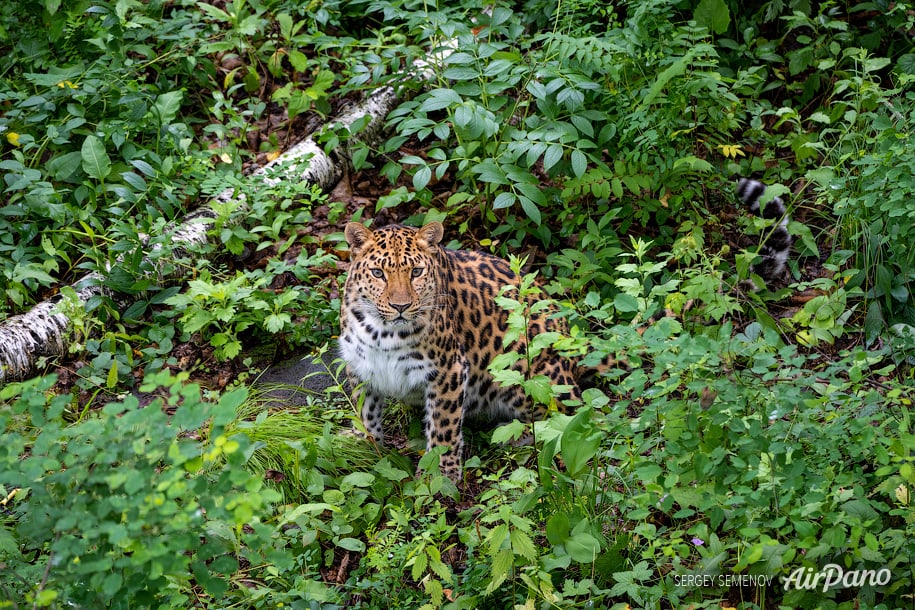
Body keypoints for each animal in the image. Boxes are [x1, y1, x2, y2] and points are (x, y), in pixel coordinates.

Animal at [340, 221, 584, 482]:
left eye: (416, 272)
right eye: (378, 273)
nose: (400, 306)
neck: (381, 332)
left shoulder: (448, 369)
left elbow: (443, 425)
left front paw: (440, 471)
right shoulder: (360, 365)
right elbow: (365, 409)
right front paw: (362, 443)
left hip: (528, 376)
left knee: (568, 416)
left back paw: (512, 434)